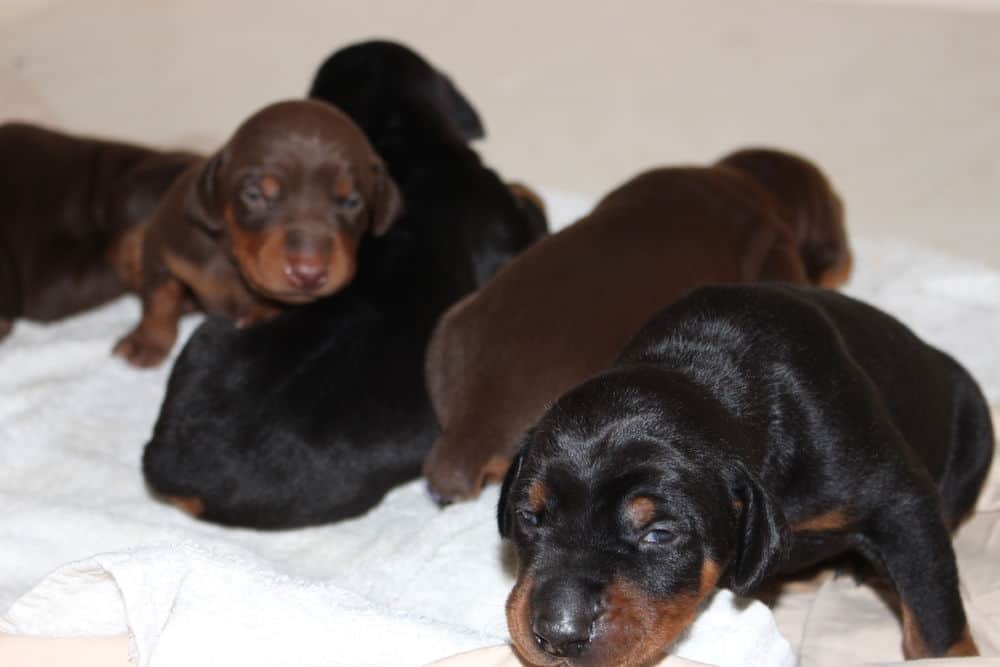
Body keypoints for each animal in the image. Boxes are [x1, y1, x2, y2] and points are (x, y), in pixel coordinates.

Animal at [111, 99, 400, 368]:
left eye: (352, 202)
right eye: (254, 195)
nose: (308, 273)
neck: (232, 260)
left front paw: (262, 313)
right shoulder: (163, 247)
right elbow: (159, 297)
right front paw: (147, 341)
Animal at [500, 284, 992, 664]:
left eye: (659, 533)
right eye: (530, 517)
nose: (558, 635)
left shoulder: (898, 500)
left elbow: (933, 612)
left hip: (976, 426)